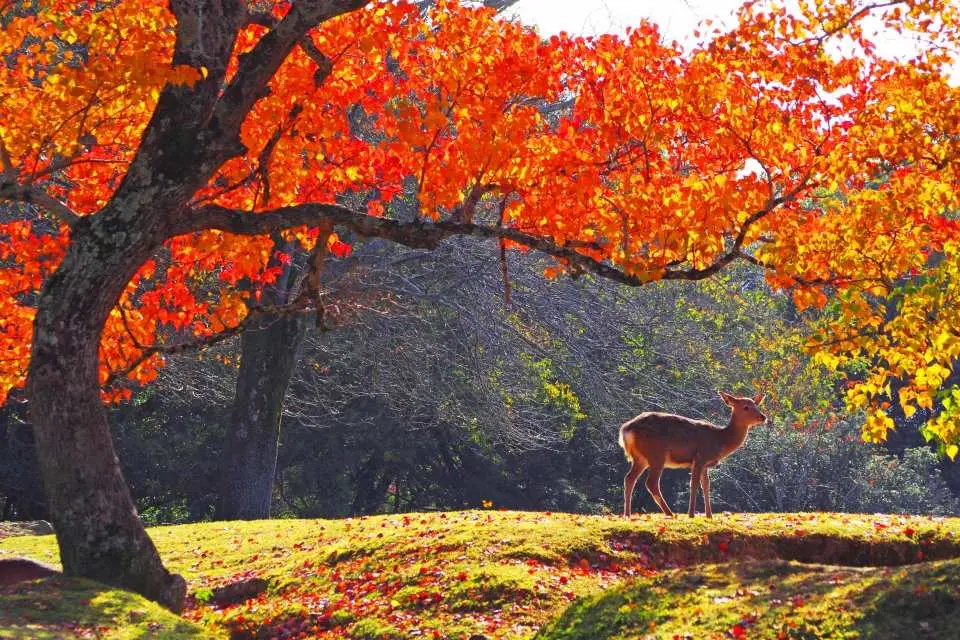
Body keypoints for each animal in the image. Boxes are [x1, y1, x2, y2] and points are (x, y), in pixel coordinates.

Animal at [619, 391, 766, 518]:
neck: (720, 440)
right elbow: (694, 484)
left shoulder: (706, 464)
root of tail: (626, 430)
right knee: (651, 483)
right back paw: (670, 513)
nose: (763, 417)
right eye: (746, 407)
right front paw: (691, 514)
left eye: (756, 404)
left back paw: (627, 514)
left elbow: (706, 485)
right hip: (656, 454)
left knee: (629, 478)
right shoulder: (700, 457)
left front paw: (709, 515)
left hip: (640, 458)